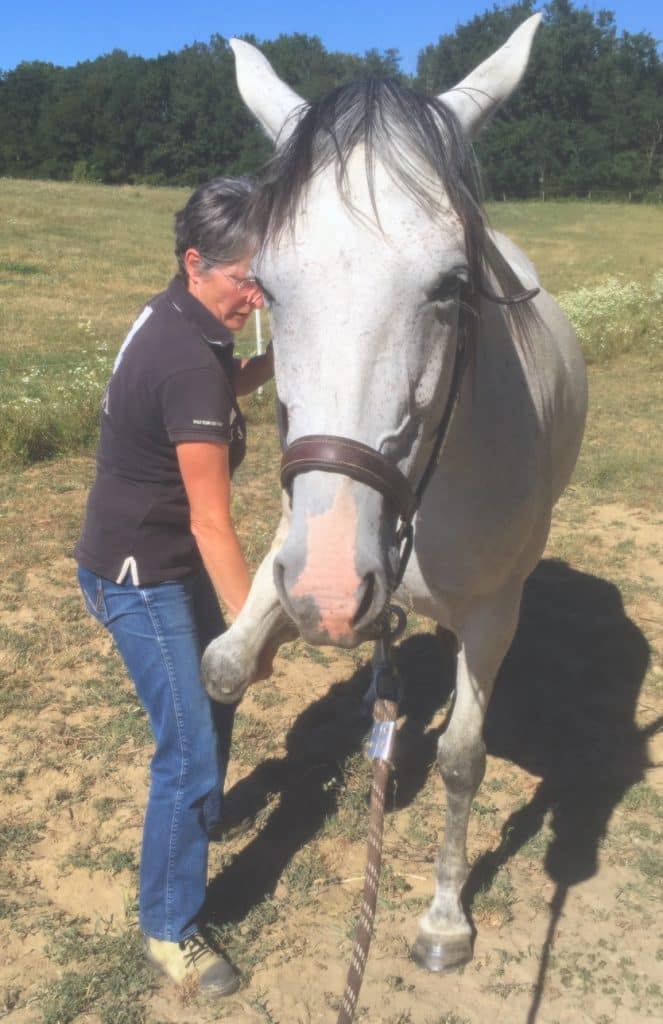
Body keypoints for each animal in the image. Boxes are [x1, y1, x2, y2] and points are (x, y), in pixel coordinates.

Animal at [202, 13, 588, 971]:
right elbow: (221, 665)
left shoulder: (490, 613)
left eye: (451, 286)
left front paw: (445, 917)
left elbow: (462, 759)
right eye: (264, 285)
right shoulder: (294, 542)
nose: (333, 591)